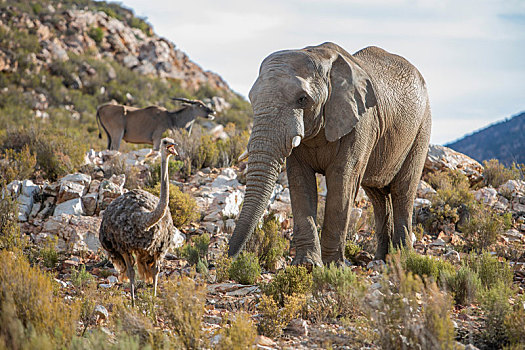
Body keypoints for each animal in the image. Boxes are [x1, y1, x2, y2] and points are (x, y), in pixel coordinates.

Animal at [228, 41, 430, 266]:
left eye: (302, 99)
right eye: (251, 99)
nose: (228, 258)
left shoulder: (361, 123)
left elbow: (342, 181)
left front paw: (333, 266)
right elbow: (300, 181)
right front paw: (307, 265)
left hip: (421, 130)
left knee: (402, 191)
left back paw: (402, 259)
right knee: (378, 196)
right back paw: (381, 259)